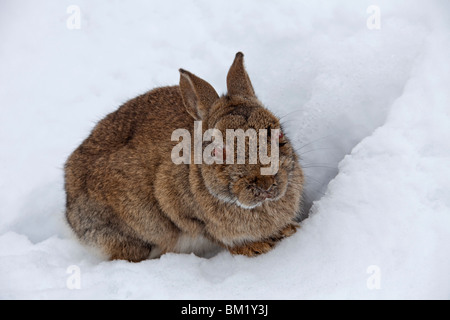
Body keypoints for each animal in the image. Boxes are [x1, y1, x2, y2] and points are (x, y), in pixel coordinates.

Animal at [65, 52, 304, 262]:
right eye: (219, 151)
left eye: (279, 136)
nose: (266, 184)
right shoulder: (180, 209)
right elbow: (215, 236)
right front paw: (256, 246)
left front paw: (289, 230)